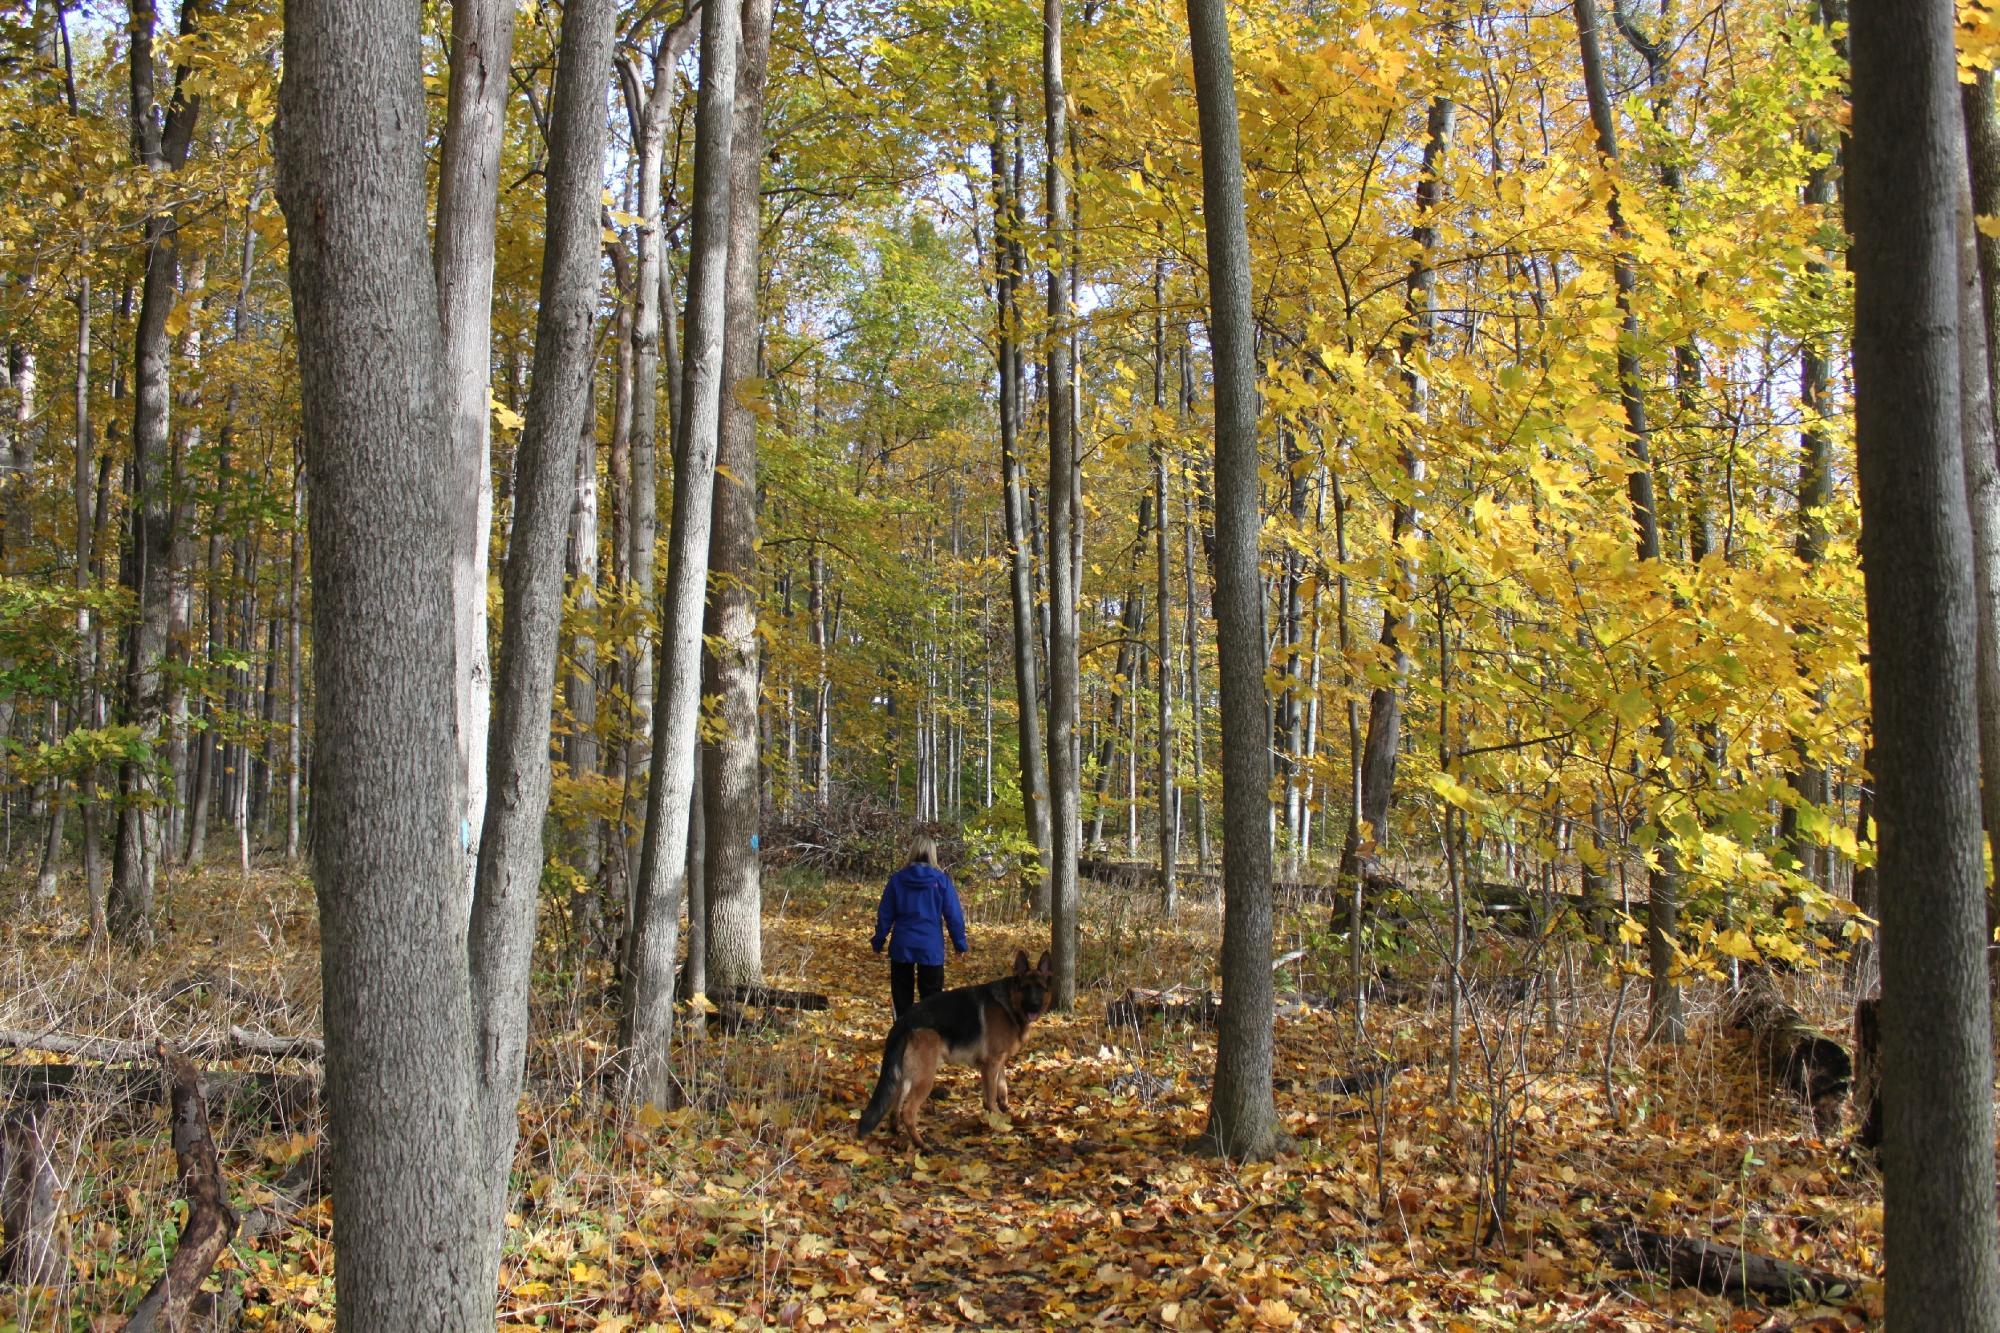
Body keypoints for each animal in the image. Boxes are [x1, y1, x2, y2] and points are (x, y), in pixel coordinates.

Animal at [852, 944, 1056, 1144]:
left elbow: (1003, 1087)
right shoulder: (990, 1064)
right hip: (925, 1076)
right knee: (907, 1111)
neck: (1010, 1002)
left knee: (896, 1103)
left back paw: (897, 1131)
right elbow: (990, 1097)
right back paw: (922, 1145)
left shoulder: (999, 1061)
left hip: (906, 1076)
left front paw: (1004, 1112)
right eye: (1026, 988)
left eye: (1041, 988)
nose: (1034, 1006)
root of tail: (904, 1020)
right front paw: (997, 1119)